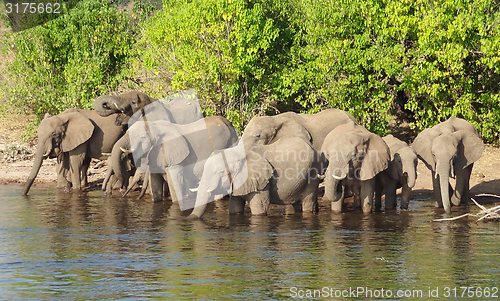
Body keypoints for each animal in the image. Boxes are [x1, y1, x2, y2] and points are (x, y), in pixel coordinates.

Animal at [188, 136, 324, 218]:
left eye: (221, 172)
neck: (236, 152)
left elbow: (260, 207)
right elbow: (235, 206)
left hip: (313, 172)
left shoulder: (261, 181)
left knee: (307, 202)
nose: (189, 218)